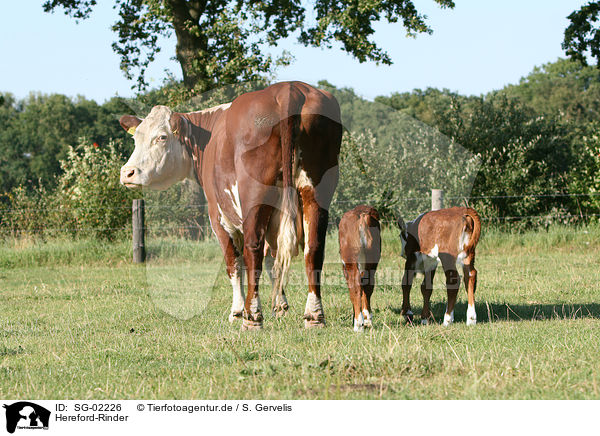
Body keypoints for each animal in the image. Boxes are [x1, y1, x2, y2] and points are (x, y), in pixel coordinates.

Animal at [118, 80, 342, 328]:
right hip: (316, 191)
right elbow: (274, 259)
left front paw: (237, 311)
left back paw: (252, 318)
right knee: (313, 249)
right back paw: (314, 316)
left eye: (162, 137)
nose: (127, 173)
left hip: (254, 195)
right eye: (135, 139)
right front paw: (280, 306)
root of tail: (288, 89)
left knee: (253, 250)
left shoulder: (218, 217)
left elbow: (234, 263)